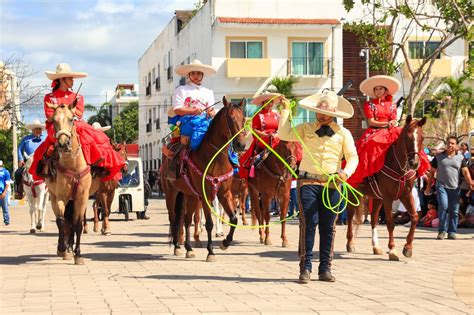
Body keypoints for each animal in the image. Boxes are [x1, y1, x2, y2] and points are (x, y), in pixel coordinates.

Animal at [44, 102, 101, 266]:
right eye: (53, 121)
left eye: (71, 119)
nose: (63, 143)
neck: (73, 164)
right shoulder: (61, 197)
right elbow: (61, 221)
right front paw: (62, 248)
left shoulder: (82, 198)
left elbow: (77, 225)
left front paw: (78, 254)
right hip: (55, 196)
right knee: (65, 222)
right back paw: (65, 248)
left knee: (72, 223)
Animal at [161, 97, 246, 262]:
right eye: (230, 119)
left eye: (244, 119)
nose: (241, 145)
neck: (215, 158)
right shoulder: (206, 194)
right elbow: (209, 223)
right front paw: (211, 252)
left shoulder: (225, 194)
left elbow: (234, 219)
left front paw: (225, 243)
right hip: (171, 193)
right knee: (174, 219)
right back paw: (177, 247)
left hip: (190, 195)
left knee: (186, 219)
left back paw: (188, 248)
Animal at [346, 116, 428, 262]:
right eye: (407, 137)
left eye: (422, 137)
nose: (414, 163)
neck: (399, 167)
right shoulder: (388, 197)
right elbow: (390, 222)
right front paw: (393, 250)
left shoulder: (406, 195)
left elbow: (414, 217)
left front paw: (408, 248)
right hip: (353, 192)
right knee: (350, 215)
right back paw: (350, 243)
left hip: (377, 196)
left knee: (373, 217)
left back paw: (376, 246)